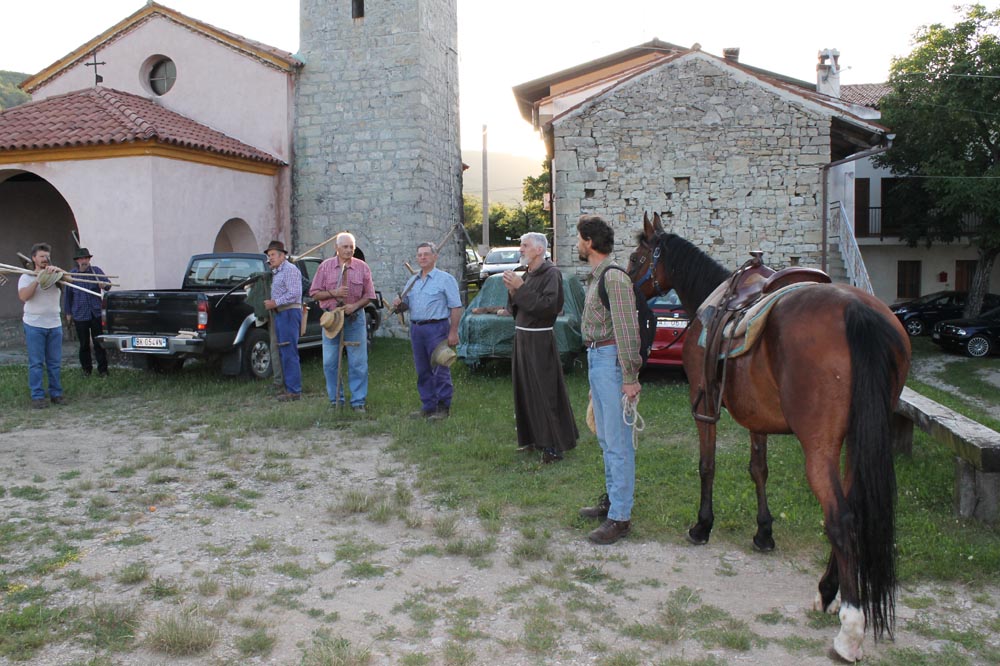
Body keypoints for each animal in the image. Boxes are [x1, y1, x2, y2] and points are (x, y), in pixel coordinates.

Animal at [627, 212, 911, 662]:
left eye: (638, 257)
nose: (627, 284)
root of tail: (856, 311)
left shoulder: (702, 401)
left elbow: (707, 465)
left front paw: (702, 526)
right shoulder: (757, 417)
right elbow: (758, 470)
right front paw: (764, 532)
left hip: (820, 447)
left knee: (841, 518)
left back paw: (850, 628)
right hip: (858, 440)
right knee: (855, 507)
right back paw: (826, 590)